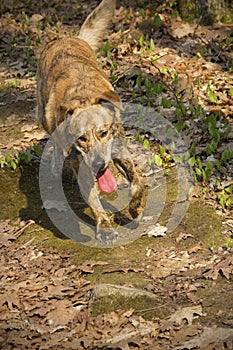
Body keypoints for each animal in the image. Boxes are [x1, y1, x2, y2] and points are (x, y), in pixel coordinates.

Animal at [36, 0, 146, 243]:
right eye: (82, 139)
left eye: (104, 133)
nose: (98, 164)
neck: (84, 96)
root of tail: (67, 38)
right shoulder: (82, 165)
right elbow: (94, 200)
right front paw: (104, 226)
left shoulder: (120, 150)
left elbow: (138, 181)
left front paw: (135, 207)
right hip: (44, 115)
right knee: (53, 139)